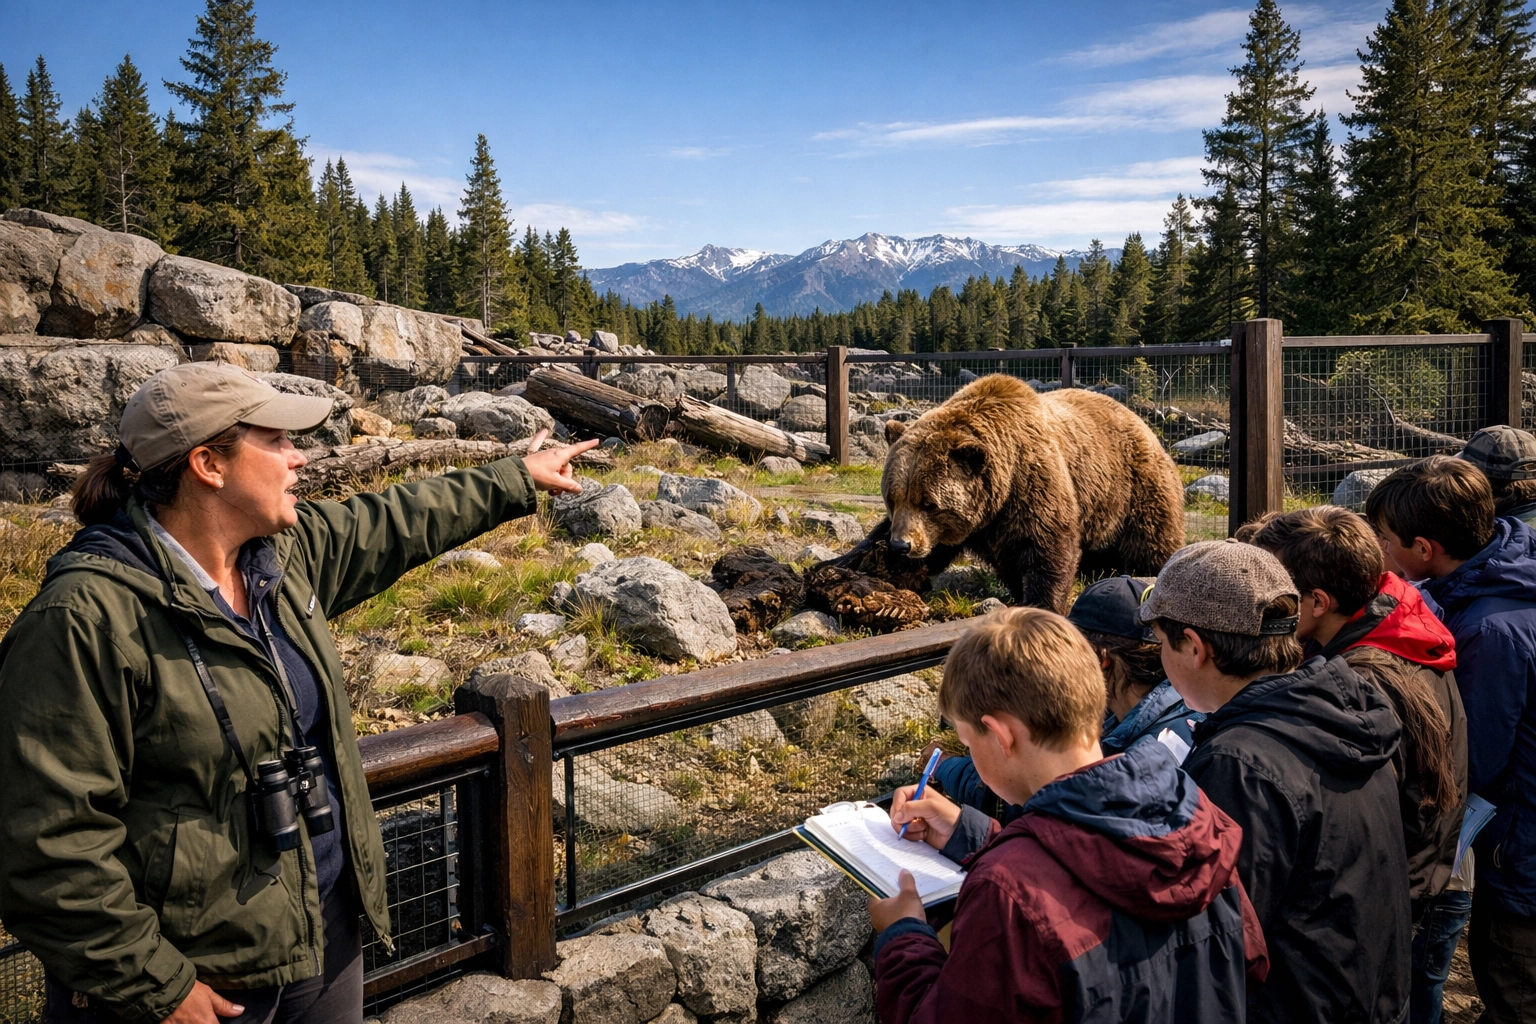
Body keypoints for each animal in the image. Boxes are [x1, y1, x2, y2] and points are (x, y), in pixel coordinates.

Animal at [878, 373, 1185, 613]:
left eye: (929, 503)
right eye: (892, 499)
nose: (901, 545)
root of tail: (1145, 427)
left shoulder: (1032, 483)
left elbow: (1047, 551)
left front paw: (1042, 603)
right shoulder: (974, 523)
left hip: (1134, 491)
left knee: (1150, 545)